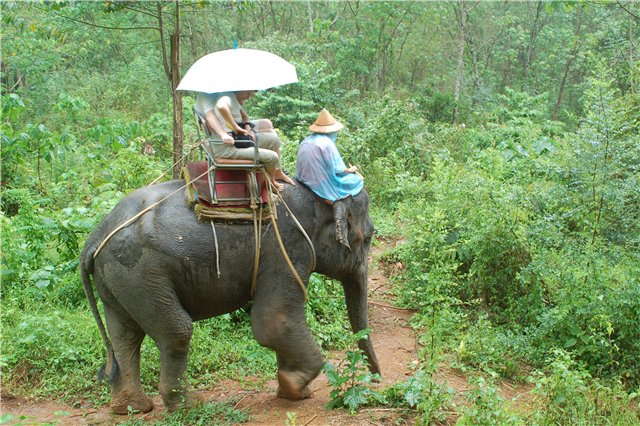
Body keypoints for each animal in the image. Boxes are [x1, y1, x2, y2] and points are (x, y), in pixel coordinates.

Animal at [80, 178, 380, 414]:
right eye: (367, 238)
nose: (377, 380)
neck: (317, 196)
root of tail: (95, 236)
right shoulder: (287, 247)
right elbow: (273, 321)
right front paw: (295, 387)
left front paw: (294, 390)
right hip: (142, 274)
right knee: (176, 331)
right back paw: (189, 405)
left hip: (119, 279)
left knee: (125, 336)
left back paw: (132, 408)